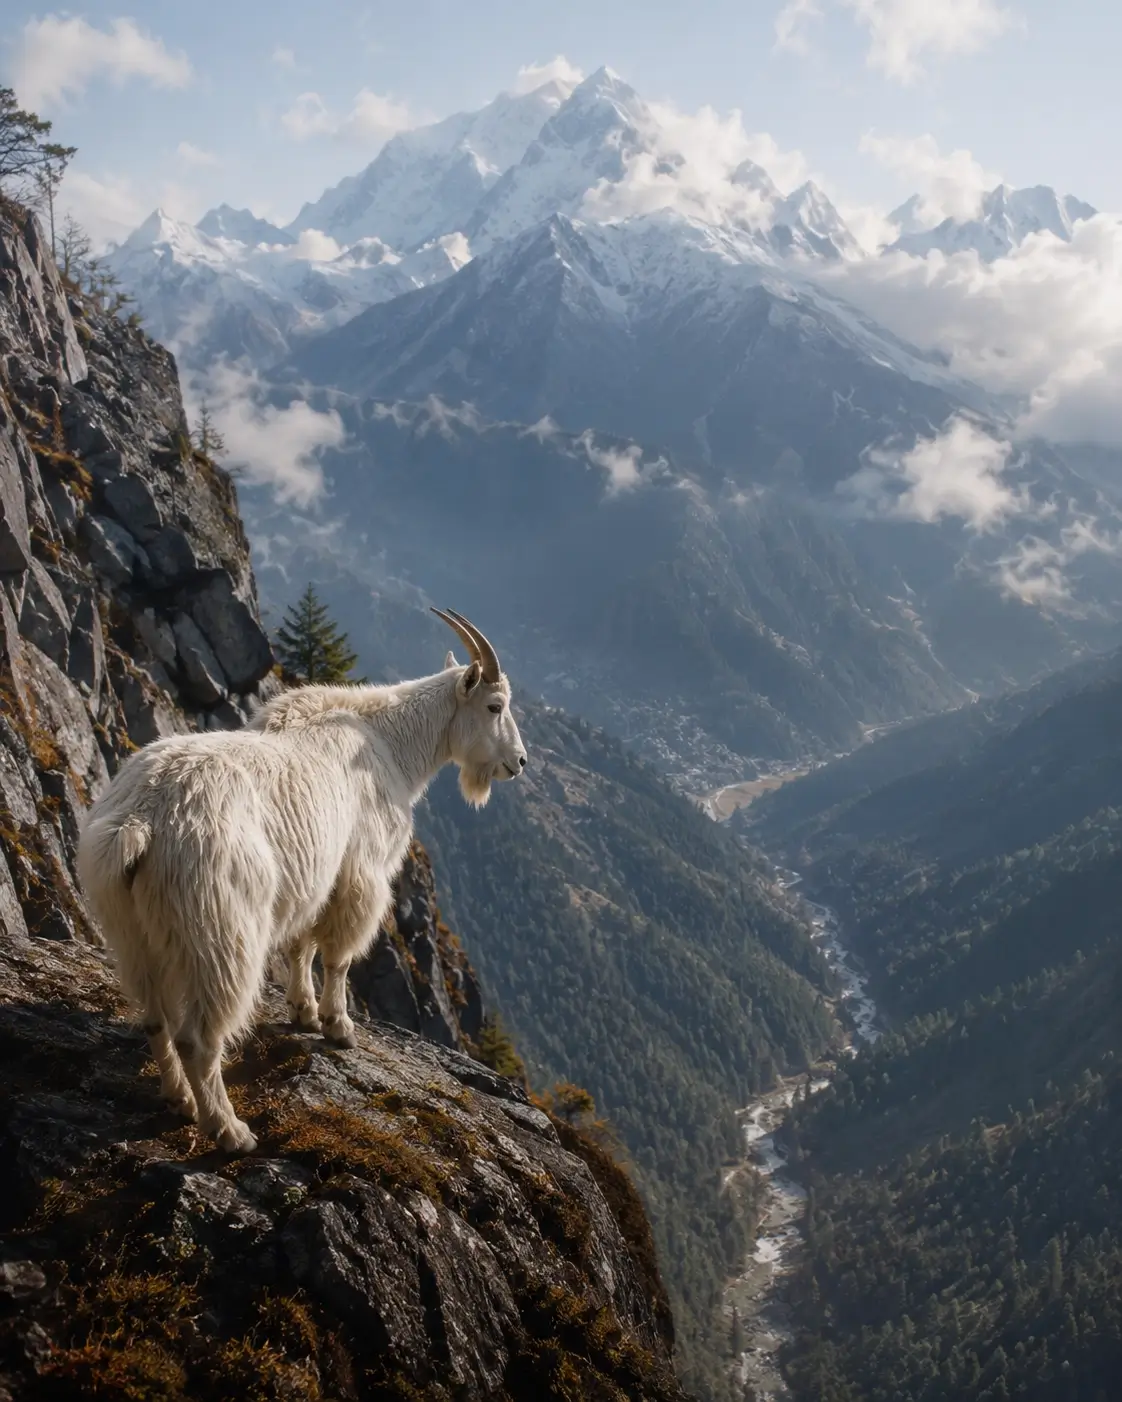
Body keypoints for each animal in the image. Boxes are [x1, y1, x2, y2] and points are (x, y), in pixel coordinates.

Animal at [77, 609, 527, 1152]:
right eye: (494, 705)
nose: (519, 762)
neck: (387, 743)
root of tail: (141, 821)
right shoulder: (361, 871)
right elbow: (338, 956)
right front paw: (338, 1026)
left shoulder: (315, 876)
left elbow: (300, 945)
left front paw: (303, 1012)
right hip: (222, 932)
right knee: (198, 1036)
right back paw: (229, 1130)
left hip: (131, 932)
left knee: (153, 1017)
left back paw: (178, 1099)